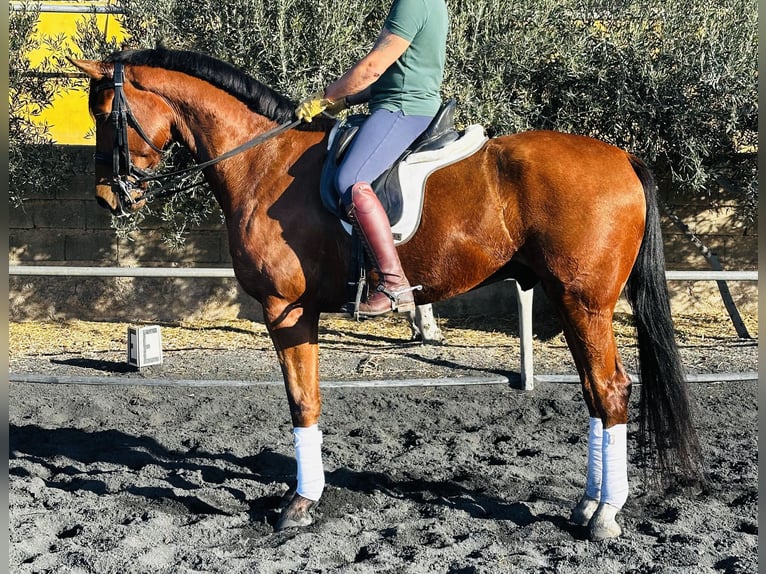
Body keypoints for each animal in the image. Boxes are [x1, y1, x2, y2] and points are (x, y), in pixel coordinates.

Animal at [70, 50, 704, 544]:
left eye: (103, 113)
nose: (106, 196)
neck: (260, 160)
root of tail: (622, 157)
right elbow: (307, 401)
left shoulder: (285, 309)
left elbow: (303, 402)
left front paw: (300, 505)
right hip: (570, 300)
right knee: (597, 394)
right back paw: (589, 505)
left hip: (583, 301)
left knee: (611, 389)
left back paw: (605, 516)